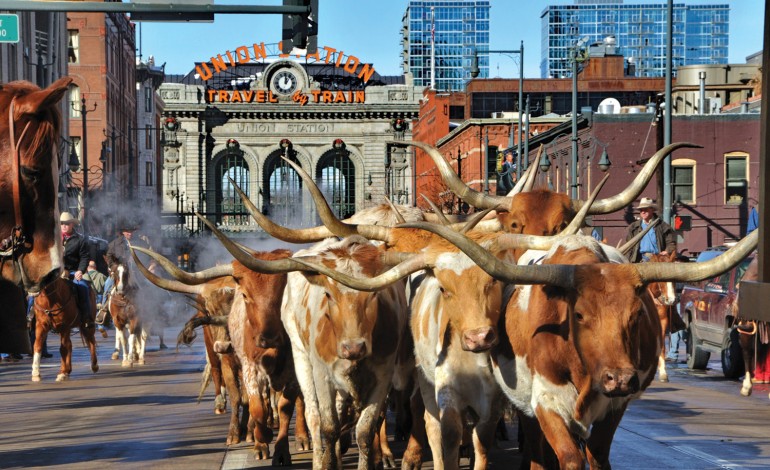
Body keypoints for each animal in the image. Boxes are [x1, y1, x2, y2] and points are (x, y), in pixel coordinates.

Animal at [640, 253, 684, 382]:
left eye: (674, 279)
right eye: (661, 278)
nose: (672, 300)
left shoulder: (662, 323)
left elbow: (662, 347)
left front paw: (663, 373)